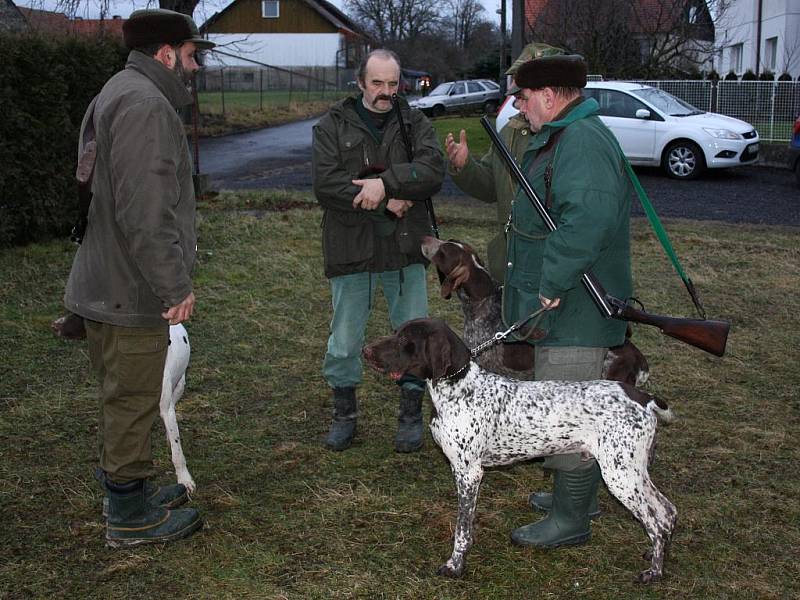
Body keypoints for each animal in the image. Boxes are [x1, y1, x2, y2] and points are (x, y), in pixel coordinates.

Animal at [366, 318, 680, 584]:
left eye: (404, 339)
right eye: (396, 331)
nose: (365, 350)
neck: (459, 388)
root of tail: (644, 398)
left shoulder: (469, 474)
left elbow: (462, 530)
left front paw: (455, 566)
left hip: (621, 475)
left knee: (655, 520)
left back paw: (654, 573)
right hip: (633, 472)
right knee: (667, 512)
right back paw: (656, 555)